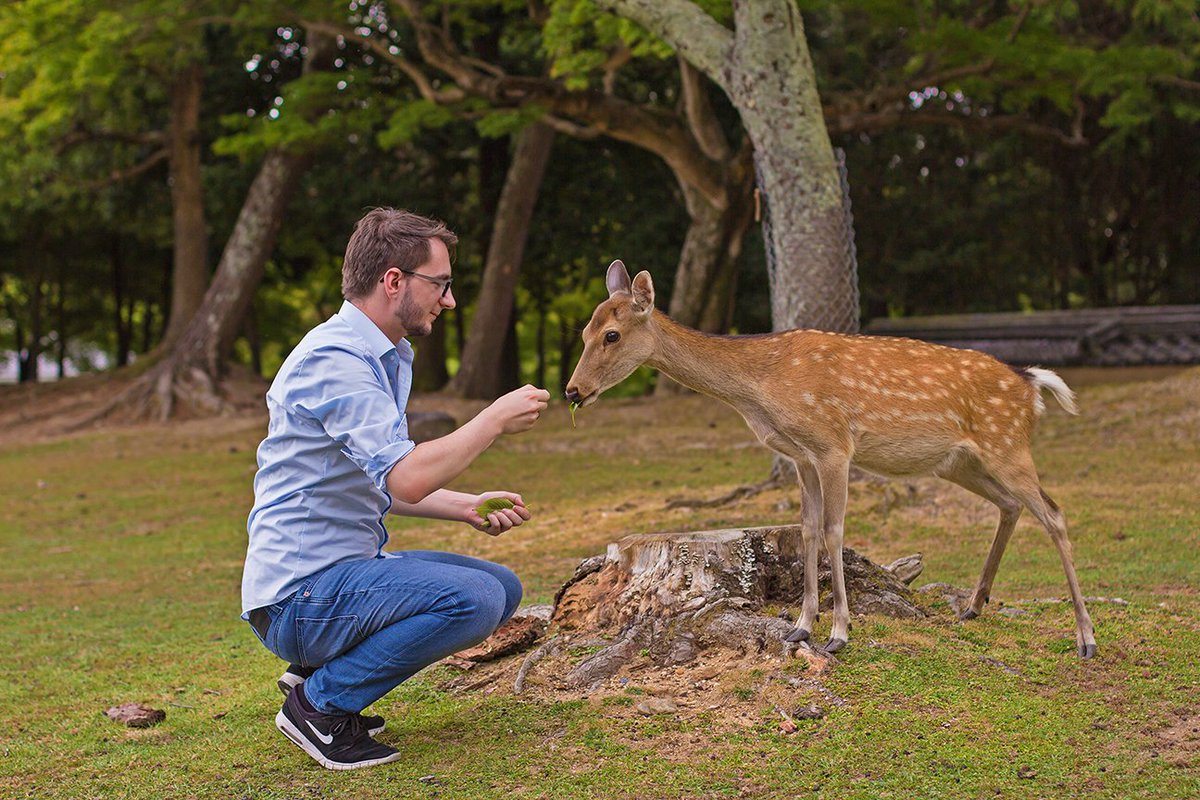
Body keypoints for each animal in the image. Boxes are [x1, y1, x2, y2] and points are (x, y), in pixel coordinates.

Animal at [566, 260, 1099, 662]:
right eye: (583, 331)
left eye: (611, 334)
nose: (573, 390)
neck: (761, 390)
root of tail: (1031, 384)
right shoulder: (800, 456)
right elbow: (806, 529)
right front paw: (802, 625)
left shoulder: (834, 445)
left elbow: (834, 530)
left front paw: (839, 633)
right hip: (960, 462)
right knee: (1012, 506)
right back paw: (972, 606)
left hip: (1007, 444)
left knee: (1053, 513)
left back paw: (1086, 638)